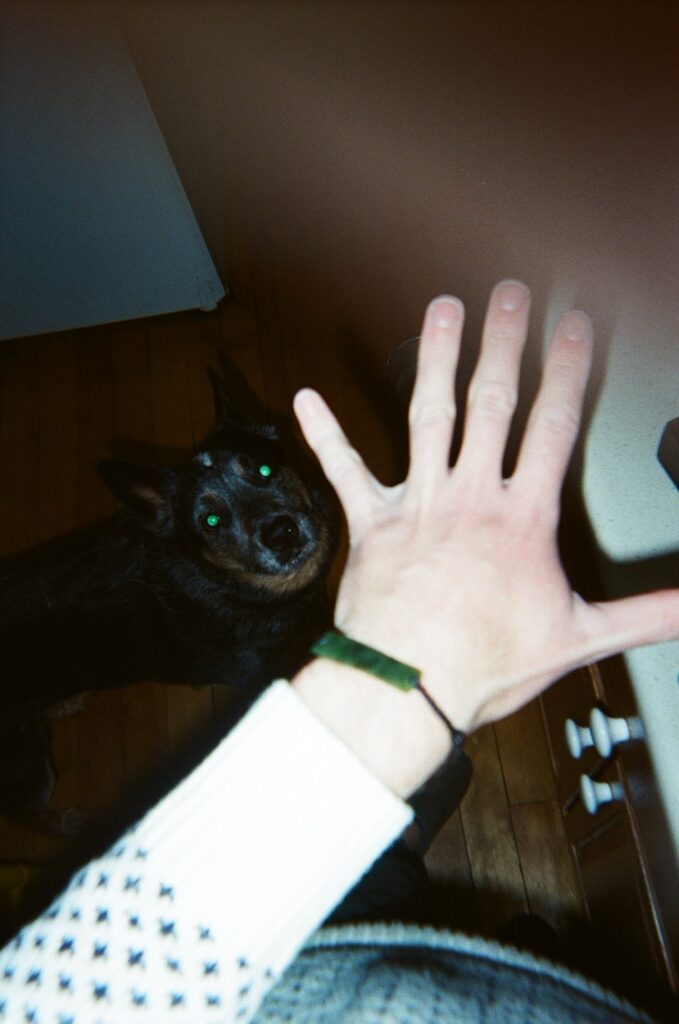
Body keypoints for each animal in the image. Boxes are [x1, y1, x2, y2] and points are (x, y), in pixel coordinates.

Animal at [0, 358, 340, 831]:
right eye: (211, 521)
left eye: (263, 470)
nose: (281, 534)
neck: (232, 584)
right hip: (27, 761)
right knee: (24, 814)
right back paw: (69, 822)